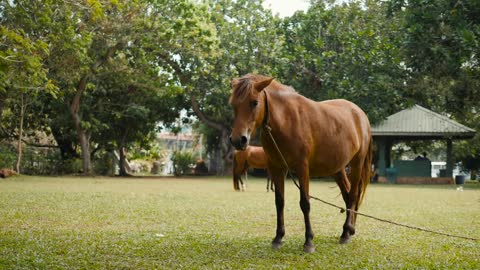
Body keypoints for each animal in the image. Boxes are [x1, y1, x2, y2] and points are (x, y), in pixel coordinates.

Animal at [228, 74, 372, 253]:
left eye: (254, 102)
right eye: (233, 104)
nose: (238, 140)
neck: (286, 121)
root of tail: (360, 114)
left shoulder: (302, 168)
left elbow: (305, 203)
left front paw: (308, 241)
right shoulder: (276, 168)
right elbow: (279, 202)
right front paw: (278, 238)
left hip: (357, 163)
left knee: (352, 195)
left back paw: (346, 232)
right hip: (337, 168)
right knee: (347, 195)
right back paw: (348, 230)